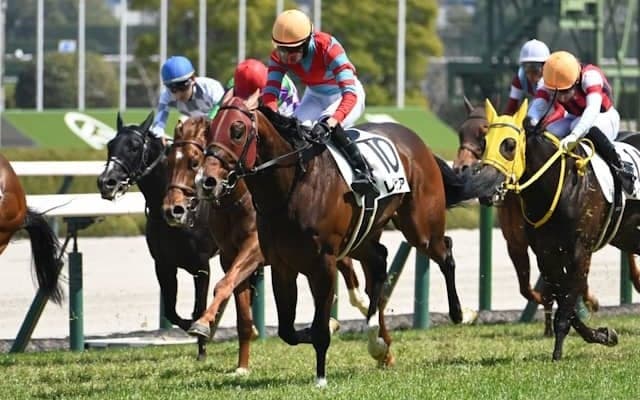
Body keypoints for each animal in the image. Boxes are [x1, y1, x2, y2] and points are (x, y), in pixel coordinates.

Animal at [96, 112, 218, 361]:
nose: (106, 182)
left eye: (134, 146)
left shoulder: (201, 265)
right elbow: (172, 311)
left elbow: (199, 307)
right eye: (110, 144)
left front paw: (202, 347)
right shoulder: (163, 264)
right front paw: (195, 327)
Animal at [162, 115, 370, 373]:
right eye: (169, 162)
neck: (236, 202)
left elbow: (224, 284)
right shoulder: (229, 256)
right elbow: (239, 307)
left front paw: (202, 323)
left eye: (193, 162)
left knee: (347, 266)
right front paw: (242, 365)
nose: (173, 210)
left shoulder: (254, 250)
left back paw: (359, 306)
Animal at [198, 92, 471, 386]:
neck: (292, 186)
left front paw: (321, 377)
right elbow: (287, 330)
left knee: (445, 251)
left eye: (237, 130)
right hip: (362, 238)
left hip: (421, 229)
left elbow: (318, 327)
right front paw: (332, 325)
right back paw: (377, 342)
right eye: (209, 130)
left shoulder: (323, 263)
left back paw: (459, 313)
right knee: (379, 262)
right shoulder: (282, 265)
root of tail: (418, 143)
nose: (207, 181)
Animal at [463, 98, 640, 360]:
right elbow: (563, 298)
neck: (561, 182)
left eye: (509, 145)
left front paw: (558, 352)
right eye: (485, 143)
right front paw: (602, 335)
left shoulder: (580, 251)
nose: (484, 189)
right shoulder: (545, 254)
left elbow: (568, 300)